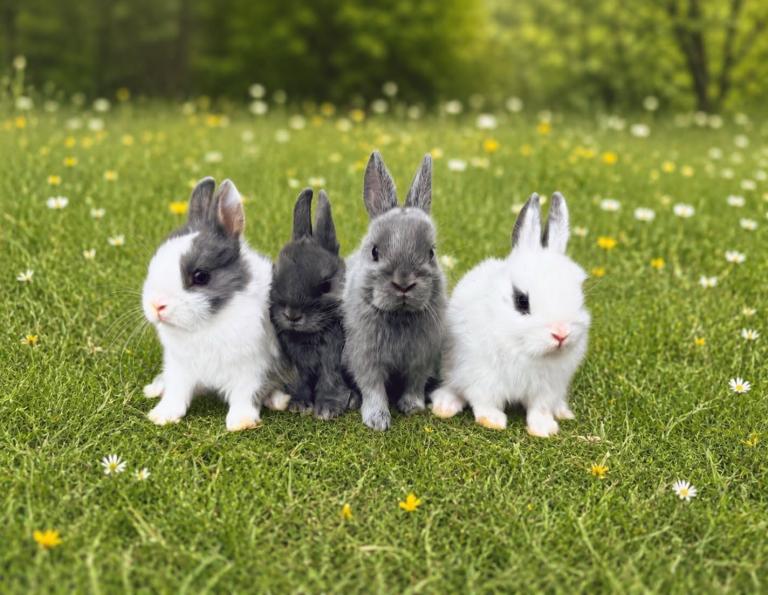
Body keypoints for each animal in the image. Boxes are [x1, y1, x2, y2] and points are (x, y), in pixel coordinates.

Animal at [141, 177, 290, 431]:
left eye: (200, 276)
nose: (156, 305)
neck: (206, 323)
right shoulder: (178, 365)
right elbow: (176, 393)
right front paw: (161, 416)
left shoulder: (252, 367)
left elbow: (245, 395)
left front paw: (241, 423)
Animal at [269, 188, 359, 420]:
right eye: (275, 275)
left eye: (326, 286)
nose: (292, 315)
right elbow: (298, 381)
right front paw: (299, 405)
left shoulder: (333, 356)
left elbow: (330, 378)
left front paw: (327, 409)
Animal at [343, 151, 447, 431]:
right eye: (374, 251)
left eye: (431, 253)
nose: (403, 283)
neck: (399, 315)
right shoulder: (365, 358)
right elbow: (373, 389)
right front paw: (377, 420)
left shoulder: (421, 360)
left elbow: (415, 383)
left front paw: (413, 407)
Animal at [430, 192, 591, 437]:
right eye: (521, 301)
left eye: (579, 295)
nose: (561, 334)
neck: (525, 350)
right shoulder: (482, 377)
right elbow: (484, 402)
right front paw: (492, 421)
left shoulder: (548, 387)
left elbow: (540, 408)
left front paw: (544, 429)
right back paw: (444, 406)